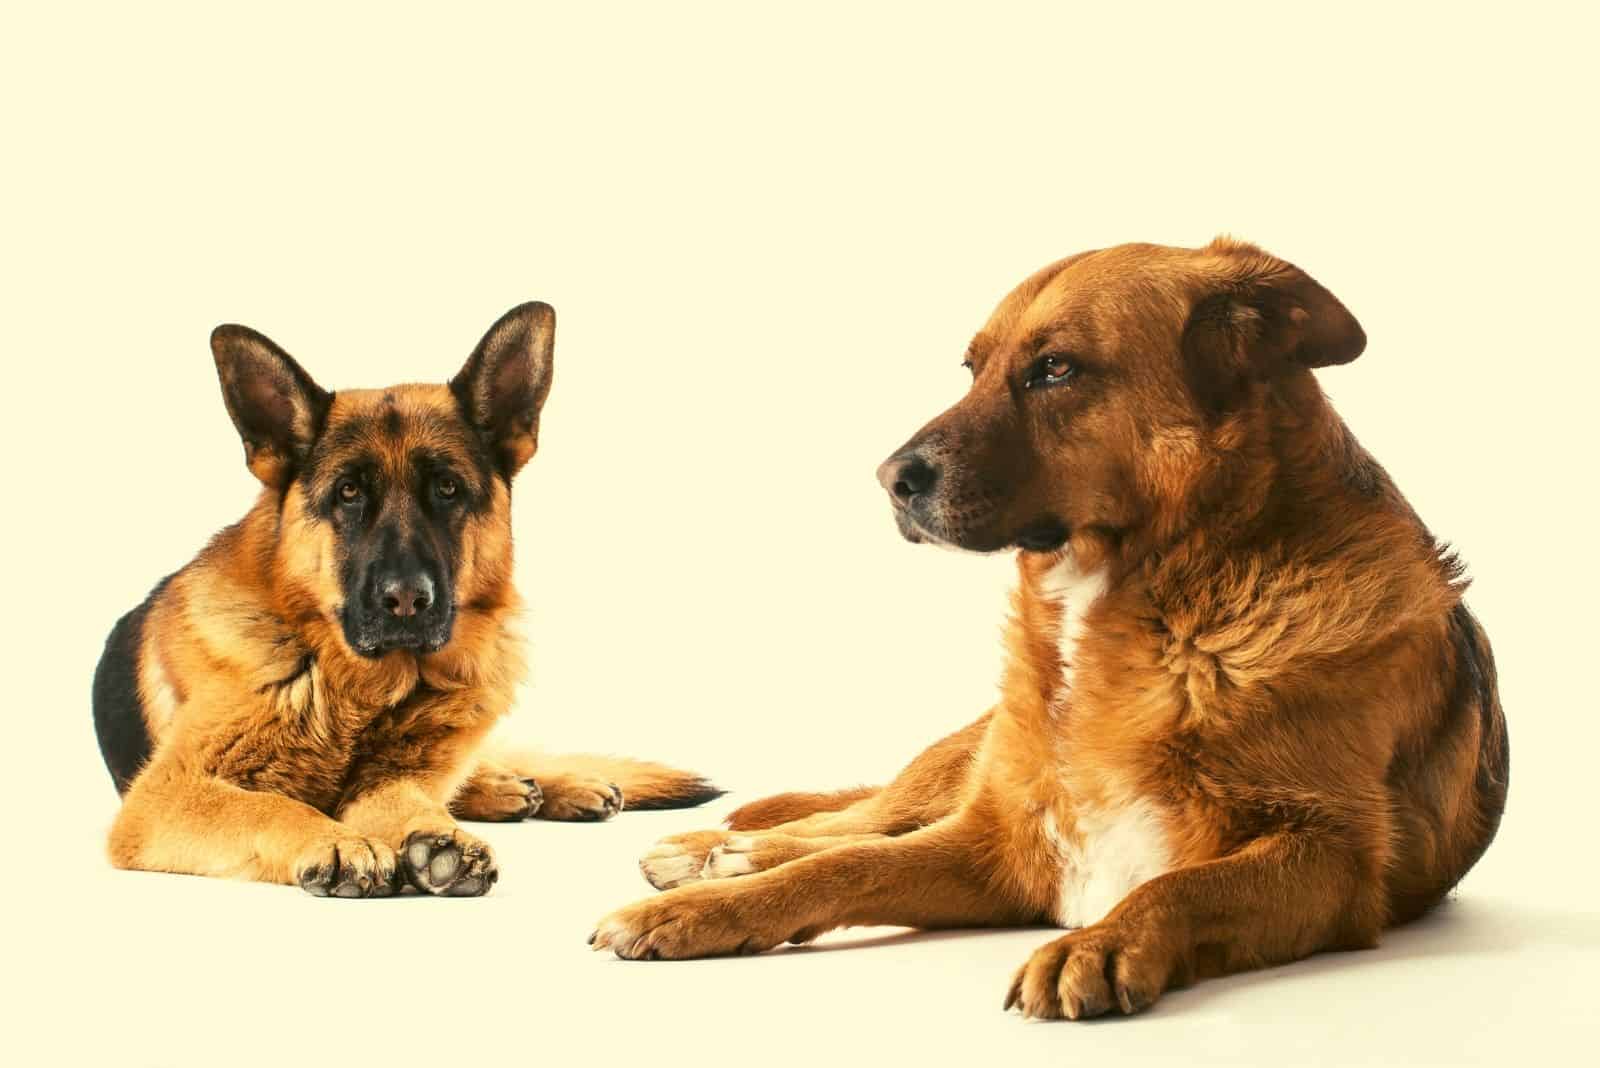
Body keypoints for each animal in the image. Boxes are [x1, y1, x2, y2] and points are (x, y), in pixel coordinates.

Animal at [96, 303, 723, 895]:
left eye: (447, 488)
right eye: (349, 492)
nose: (405, 600)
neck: (355, 688)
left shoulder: (395, 778)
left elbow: (404, 799)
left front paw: (433, 836)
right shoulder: (162, 796)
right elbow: (272, 805)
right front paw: (335, 841)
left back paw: (544, 786)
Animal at [595, 239, 1504, 1016]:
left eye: (1055, 369)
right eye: (974, 368)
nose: (889, 479)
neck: (1148, 607)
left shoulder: (1331, 859)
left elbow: (1180, 885)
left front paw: (1098, 944)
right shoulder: (995, 843)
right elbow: (847, 864)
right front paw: (714, 908)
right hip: (962, 768)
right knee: (853, 819)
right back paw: (714, 854)